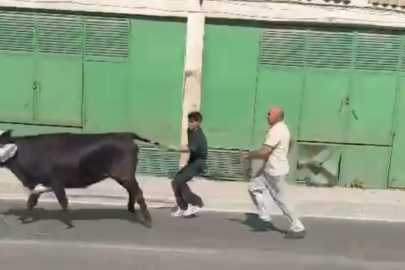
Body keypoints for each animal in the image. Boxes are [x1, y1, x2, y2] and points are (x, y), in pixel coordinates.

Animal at [0, 129, 163, 228]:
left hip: (125, 174)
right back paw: (131, 210)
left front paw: (70, 223)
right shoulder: (41, 183)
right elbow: (32, 201)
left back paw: (147, 221)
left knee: (138, 193)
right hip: (124, 176)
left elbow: (63, 201)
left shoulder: (55, 182)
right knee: (132, 192)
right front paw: (24, 219)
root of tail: (125, 134)